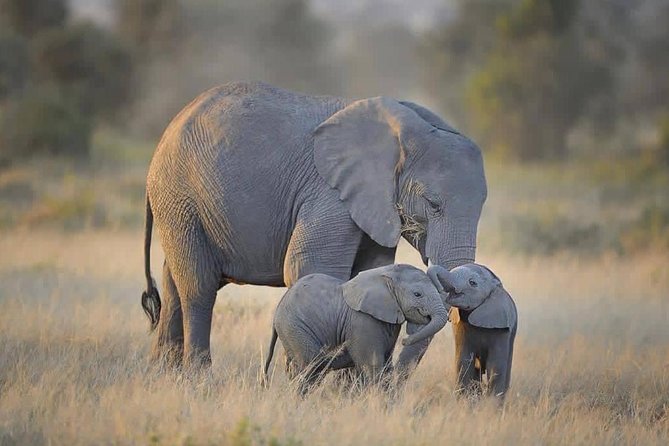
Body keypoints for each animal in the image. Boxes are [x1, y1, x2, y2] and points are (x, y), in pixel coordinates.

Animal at [140, 81, 487, 368]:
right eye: (433, 204)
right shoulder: (329, 193)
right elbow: (310, 266)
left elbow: (369, 271)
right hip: (179, 197)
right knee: (198, 286)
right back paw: (198, 377)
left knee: (174, 282)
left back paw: (164, 375)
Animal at [263, 264, 448, 393]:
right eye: (418, 294)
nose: (405, 340)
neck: (386, 274)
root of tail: (276, 312)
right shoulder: (363, 321)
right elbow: (373, 366)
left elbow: (386, 366)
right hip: (296, 328)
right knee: (310, 368)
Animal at [427, 263, 517, 399]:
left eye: (472, 283)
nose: (440, 289)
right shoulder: (460, 325)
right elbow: (463, 362)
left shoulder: (502, 328)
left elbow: (495, 366)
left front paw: (490, 404)